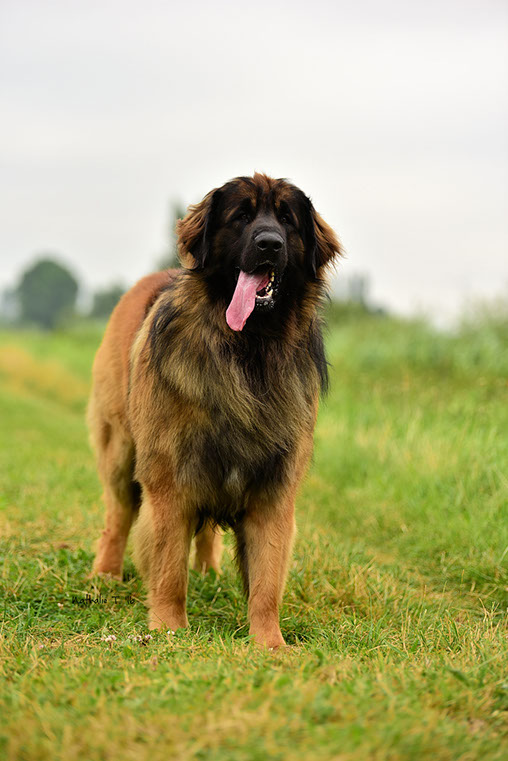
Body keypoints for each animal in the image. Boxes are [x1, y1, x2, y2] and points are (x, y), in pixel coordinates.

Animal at [88, 173, 342, 648]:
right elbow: (169, 566)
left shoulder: (273, 490)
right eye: (241, 216)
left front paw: (270, 643)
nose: (269, 244)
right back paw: (105, 575)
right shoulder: (170, 480)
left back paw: (208, 571)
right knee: (118, 516)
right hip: (121, 451)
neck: (247, 350)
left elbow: (266, 581)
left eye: (287, 219)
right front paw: (169, 629)